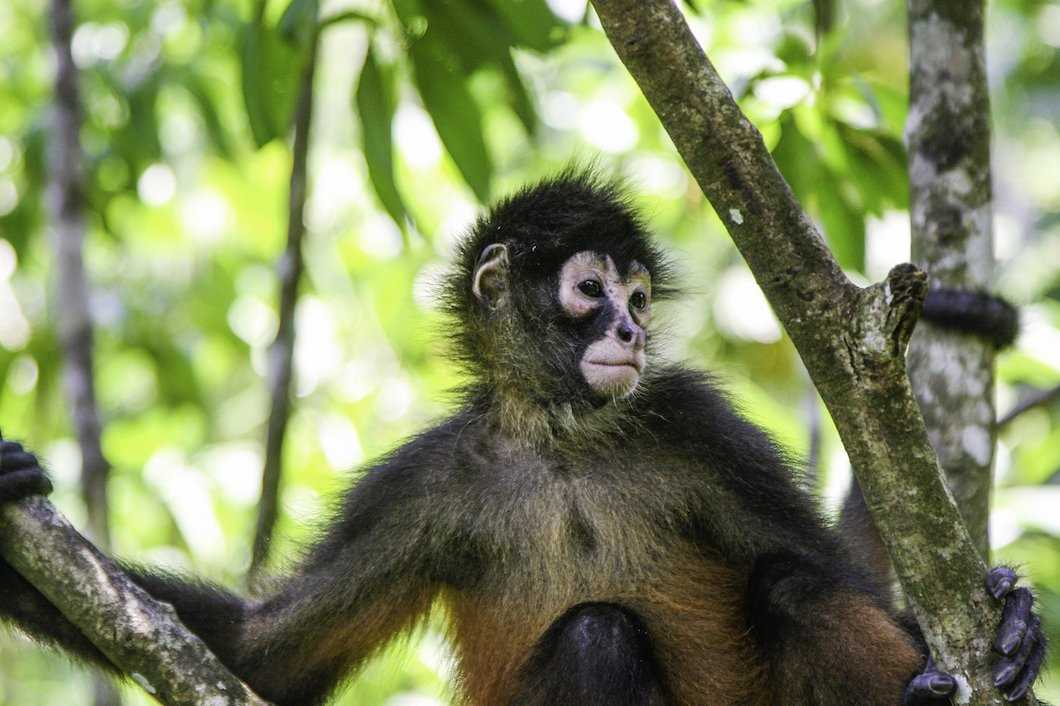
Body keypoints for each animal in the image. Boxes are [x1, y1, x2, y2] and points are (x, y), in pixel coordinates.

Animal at [0, 171, 1046, 706]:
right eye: (591, 292)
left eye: (638, 301)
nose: (629, 333)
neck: (559, 444)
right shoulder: (422, 484)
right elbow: (265, 657)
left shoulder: (695, 425)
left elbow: (845, 575)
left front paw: (1015, 627)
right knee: (597, 634)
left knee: (791, 586)